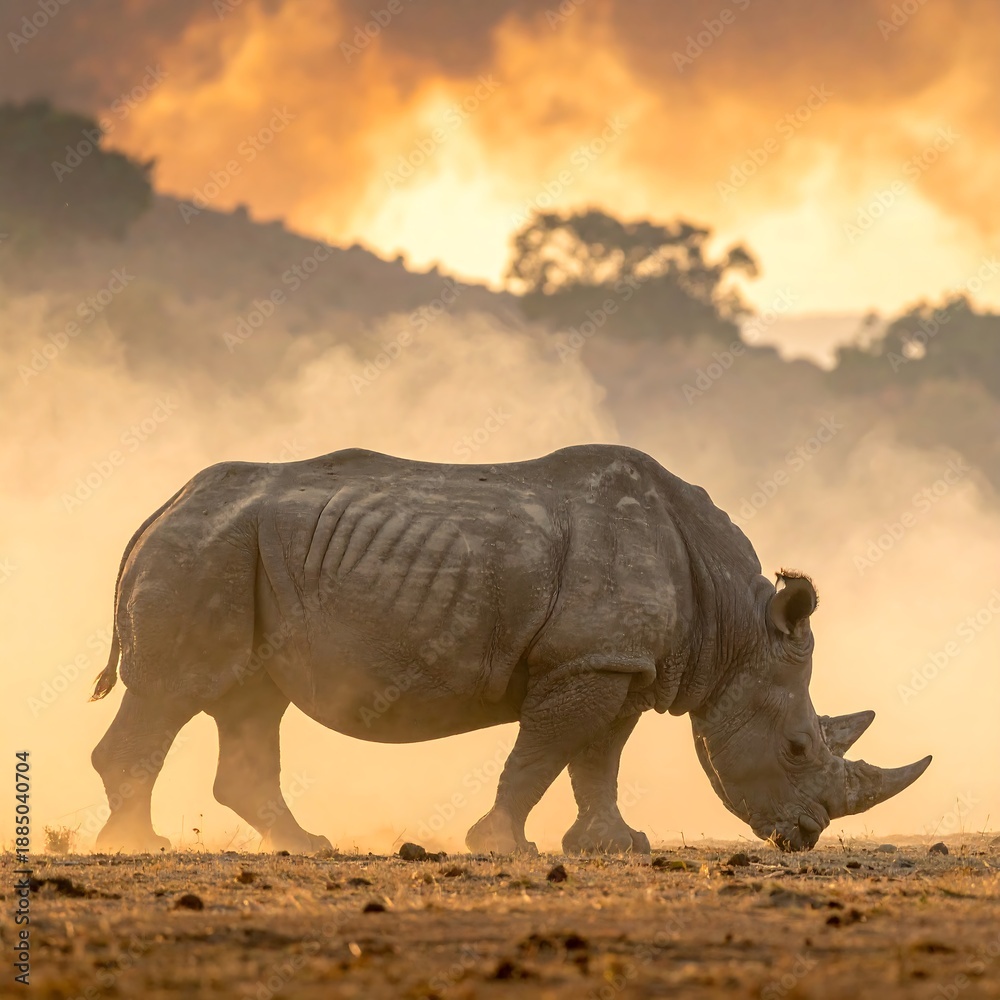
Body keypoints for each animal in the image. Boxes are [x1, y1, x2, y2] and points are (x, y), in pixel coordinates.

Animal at [90, 444, 930, 854]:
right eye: (796, 748)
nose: (806, 837)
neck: (730, 626)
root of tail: (159, 508)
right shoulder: (586, 662)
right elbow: (544, 752)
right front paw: (500, 843)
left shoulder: (617, 664)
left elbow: (597, 760)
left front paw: (616, 846)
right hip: (205, 550)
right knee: (173, 693)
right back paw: (140, 846)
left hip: (239, 551)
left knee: (251, 704)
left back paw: (306, 845)